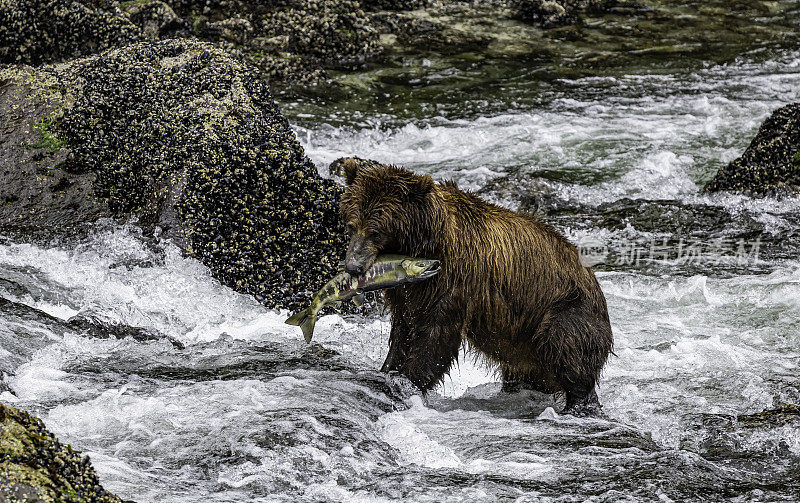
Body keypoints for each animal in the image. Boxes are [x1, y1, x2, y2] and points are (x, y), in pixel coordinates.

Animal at [336, 158, 612, 418]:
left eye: (375, 232)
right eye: (351, 225)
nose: (353, 266)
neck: (424, 242)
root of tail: (594, 282)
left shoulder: (454, 278)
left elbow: (437, 335)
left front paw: (409, 380)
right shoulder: (407, 291)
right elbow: (403, 328)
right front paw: (388, 369)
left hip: (562, 310)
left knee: (569, 351)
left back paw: (579, 405)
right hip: (523, 344)